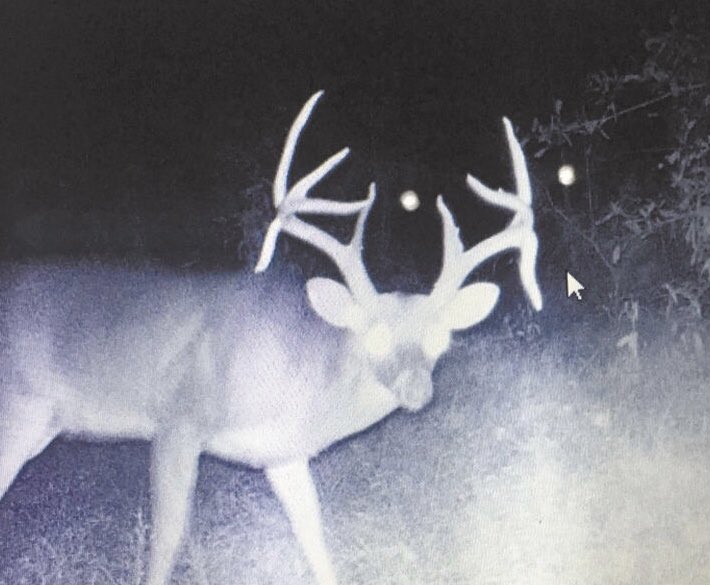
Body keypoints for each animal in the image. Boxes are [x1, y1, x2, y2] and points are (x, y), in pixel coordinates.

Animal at [0, 90, 542, 585]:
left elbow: (316, 540)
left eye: (440, 339)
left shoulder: (284, 454)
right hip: (20, 408)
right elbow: (167, 542)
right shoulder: (178, 419)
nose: (417, 389)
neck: (297, 377)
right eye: (373, 336)